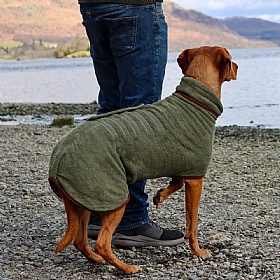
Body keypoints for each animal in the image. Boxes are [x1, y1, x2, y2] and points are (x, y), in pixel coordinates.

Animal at [49, 45, 237, 274]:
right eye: (232, 60)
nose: (237, 67)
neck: (194, 100)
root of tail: (58, 157)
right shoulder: (195, 178)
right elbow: (192, 224)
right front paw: (198, 251)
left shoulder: (182, 164)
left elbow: (176, 182)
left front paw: (160, 195)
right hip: (113, 197)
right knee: (101, 243)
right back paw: (126, 267)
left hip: (84, 198)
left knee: (80, 240)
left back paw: (96, 260)